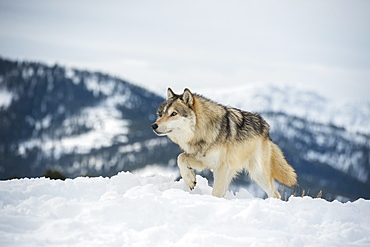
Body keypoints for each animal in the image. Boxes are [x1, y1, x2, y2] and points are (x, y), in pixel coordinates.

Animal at [151, 88, 298, 198]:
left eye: (173, 114)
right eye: (161, 114)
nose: (153, 126)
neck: (202, 131)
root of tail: (266, 128)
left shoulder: (220, 167)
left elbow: (215, 193)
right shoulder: (204, 162)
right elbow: (180, 157)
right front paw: (190, 180)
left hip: (257, 173)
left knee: (275, 194)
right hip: (232, 171)